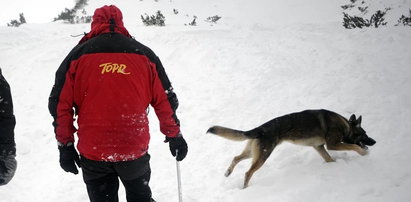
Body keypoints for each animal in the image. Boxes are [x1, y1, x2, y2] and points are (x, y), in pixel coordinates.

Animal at [209, 109, 376, 188]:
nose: (374, 141)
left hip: (253, 152)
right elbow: (353, 146)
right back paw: (245, 187)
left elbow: (329, 159)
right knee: (247, 172)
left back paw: (228, 172)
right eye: (364, 134)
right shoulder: (333, 144)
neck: (345, 125)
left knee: (236, 157)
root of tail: (260, 128)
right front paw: (364, 153)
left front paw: (333, 166)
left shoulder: (319, 147)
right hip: (263, 156)